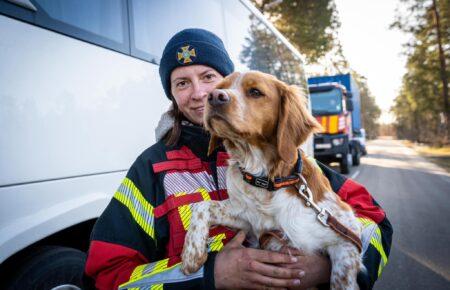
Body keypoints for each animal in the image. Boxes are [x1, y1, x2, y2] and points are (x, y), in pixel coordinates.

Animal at [181, 71, 364, 290]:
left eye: (255, 92)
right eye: (220, 87)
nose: (214, 96)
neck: (267, 180)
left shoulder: (346, 236)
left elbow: (341, 279)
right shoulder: (247, 219)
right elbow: (201, 206)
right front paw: (191, 255)